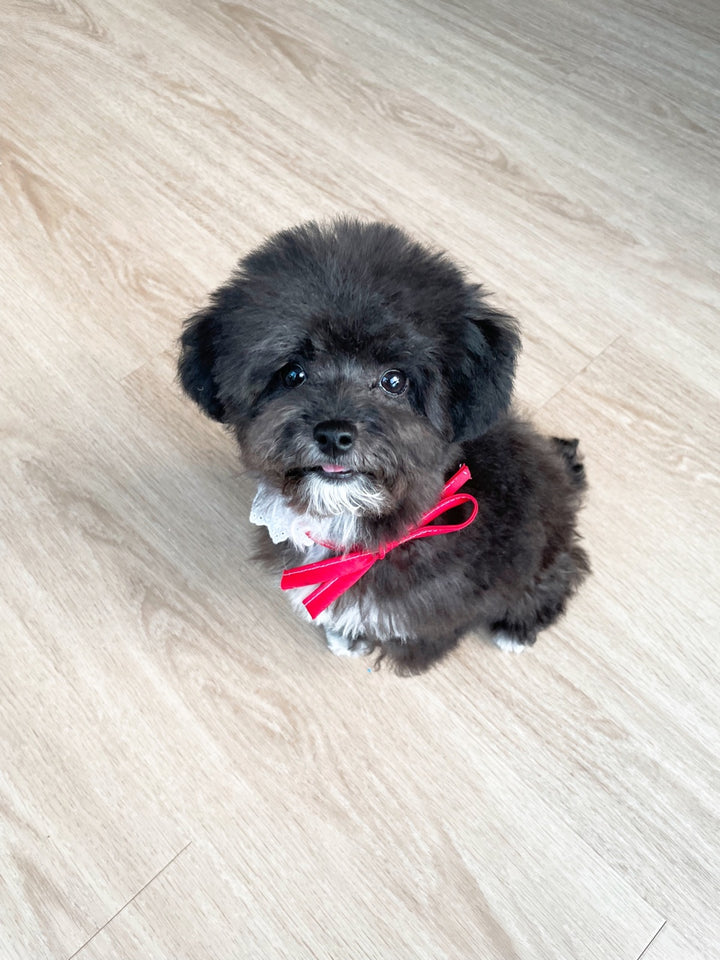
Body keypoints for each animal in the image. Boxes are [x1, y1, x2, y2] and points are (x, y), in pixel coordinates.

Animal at [177, 218, 588, 676]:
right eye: (292, 374)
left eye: (395, 380)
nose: (334, 434)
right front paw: (346, 639)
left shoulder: (437, 615)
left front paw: (407, 658)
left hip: (544, 558)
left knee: (561, 577)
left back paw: (517, 628)